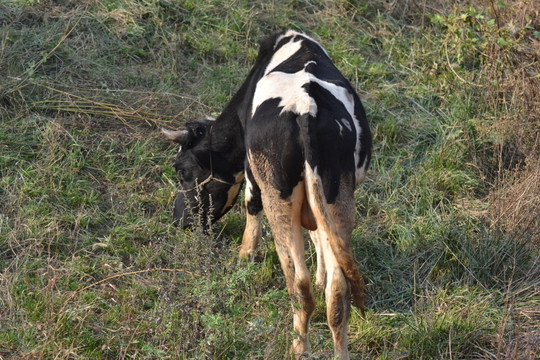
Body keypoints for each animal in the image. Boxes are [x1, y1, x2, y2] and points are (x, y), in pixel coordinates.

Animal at [160, 30, 372, 358]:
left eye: (181, 169)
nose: (178, 220)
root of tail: (307, 108)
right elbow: (319, 239)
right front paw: (322, 274)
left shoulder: (251, 170)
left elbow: (251, 203)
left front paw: (245, 255)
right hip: (339, 196)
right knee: (339, 291)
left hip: (278, 197)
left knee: (298, 284)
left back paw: (298, 347)